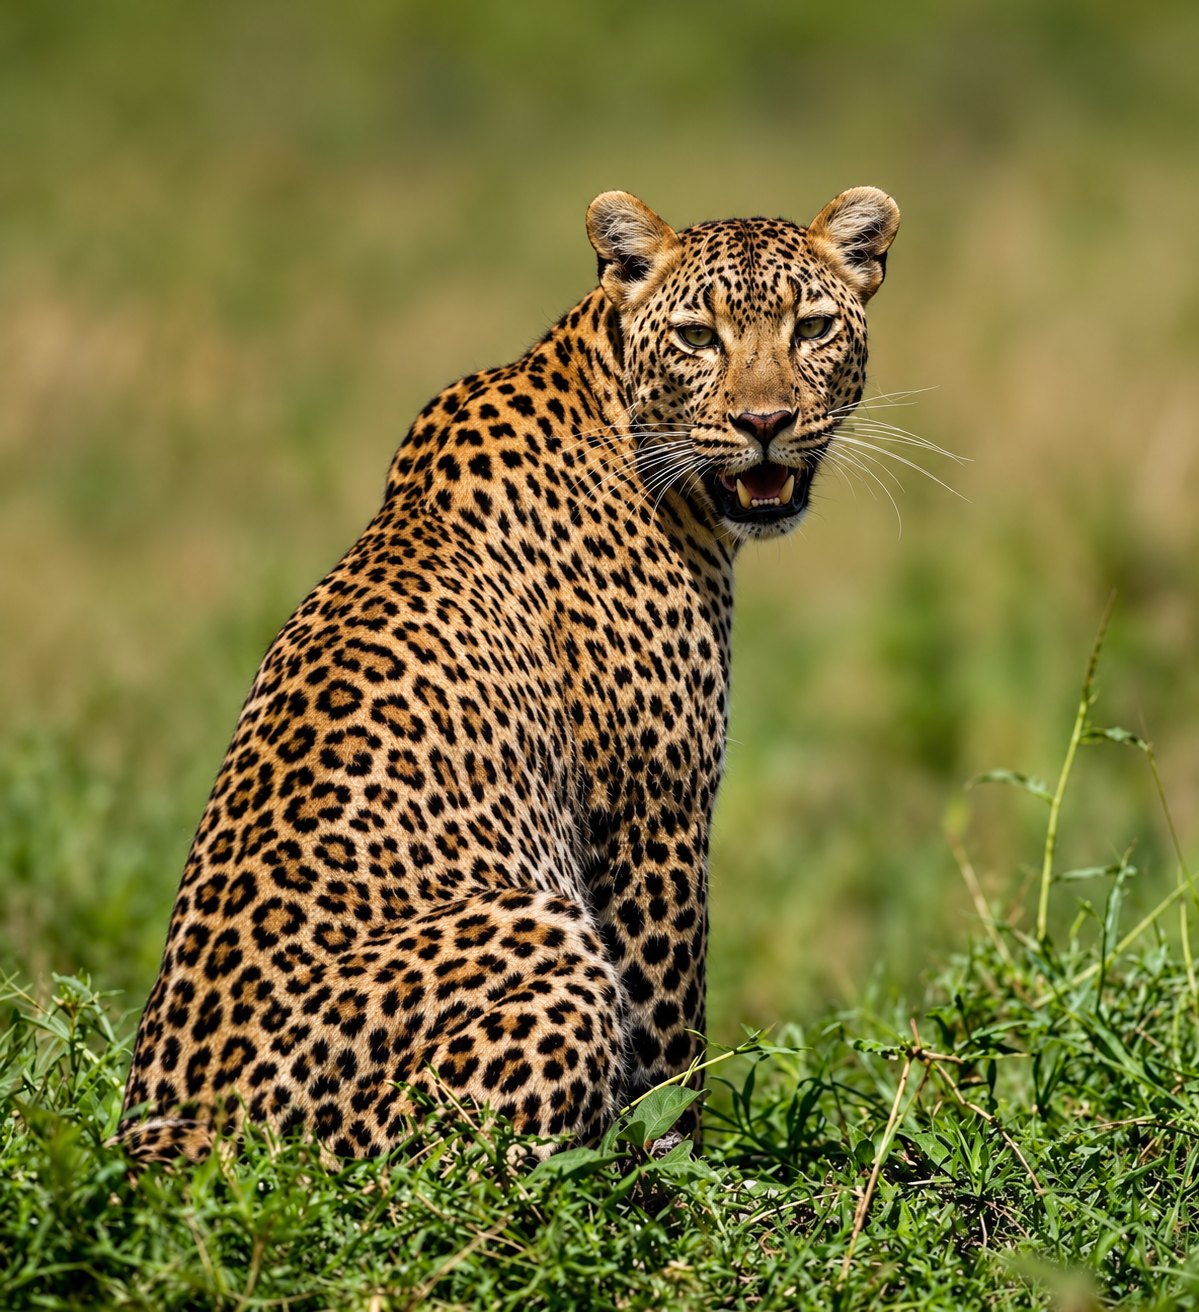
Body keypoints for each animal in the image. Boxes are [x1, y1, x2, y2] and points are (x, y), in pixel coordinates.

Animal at [118, 186, 900, 1162]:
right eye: (697, 337)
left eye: (812, 327)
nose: (765, 424)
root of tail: (172, 1134)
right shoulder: (653, 812)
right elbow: (667, 1028)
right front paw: (676, 1163)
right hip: (540, 936)